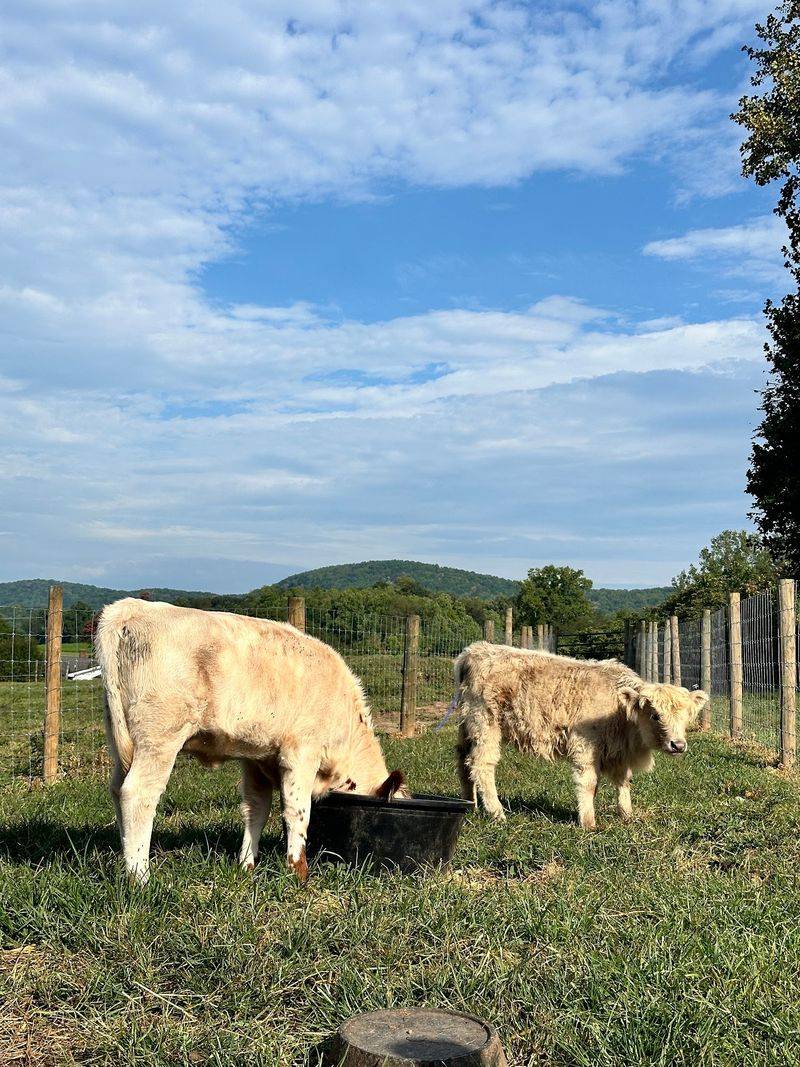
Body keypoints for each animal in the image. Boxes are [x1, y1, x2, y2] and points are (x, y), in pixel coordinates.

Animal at [95, 598, 406, 883]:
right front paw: (298, 873)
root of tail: (131, 607)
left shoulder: (257, 760)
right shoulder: (301, 752)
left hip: (122, 740)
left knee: (117, 789)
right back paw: (140, 877)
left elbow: (256, 810)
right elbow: (297, 812)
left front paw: (246, 865)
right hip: (160, 737)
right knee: (138, 794)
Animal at [454, 641, 708, 829]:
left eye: (686, 716)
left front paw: (626, 815)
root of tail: (475, 650)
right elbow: (588, 782)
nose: (678, 745)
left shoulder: (618, 753)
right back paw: (497, 813)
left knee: (463, 760)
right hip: (485, 725)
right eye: (655, 715)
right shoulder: (585, 746)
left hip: (468, 726)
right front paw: (588, 822)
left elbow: (623, 782)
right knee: (482, 765)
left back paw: (470, 805)